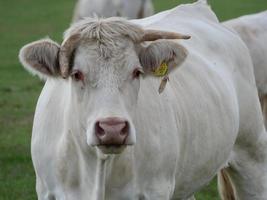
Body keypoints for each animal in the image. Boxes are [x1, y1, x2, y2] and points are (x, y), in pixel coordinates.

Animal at [19, 0, 267, 199]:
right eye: (76, 73)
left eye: (137, 72)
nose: (112, 128)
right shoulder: (48, 190)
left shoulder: (156, 190)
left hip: (252, 152)